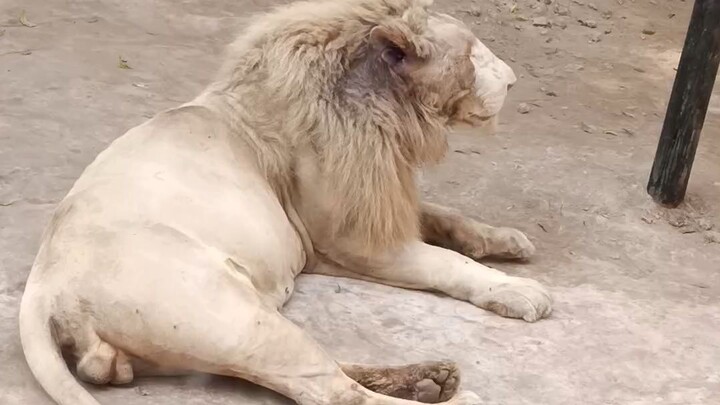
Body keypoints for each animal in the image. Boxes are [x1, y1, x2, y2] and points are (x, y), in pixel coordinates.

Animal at [19, 0, 552, 404]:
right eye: (473, 53)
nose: (514, 80)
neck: (383, 108)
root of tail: (45, 292)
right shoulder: (350, 240)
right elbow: (445, 261)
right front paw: (519, 290)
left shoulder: (375, 198)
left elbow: (447, 218)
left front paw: (507, 241)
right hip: (240, 321)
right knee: (334, 392)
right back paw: (450, 395)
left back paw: (431, 379)